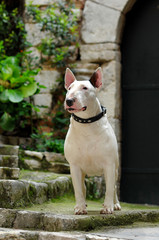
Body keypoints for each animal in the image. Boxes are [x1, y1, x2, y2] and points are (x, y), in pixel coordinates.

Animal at [63, 66, 120, 215]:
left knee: (114, 187)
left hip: (115, 169)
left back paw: (116, 204)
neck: (86, 123)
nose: (69, 101)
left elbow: (109, 189)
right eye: (69, 88)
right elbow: (78, 189)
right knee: (83, 187)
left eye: (85, 88)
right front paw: (80, 207)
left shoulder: (109, 164)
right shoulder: (75, 166)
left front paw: (108, 207)